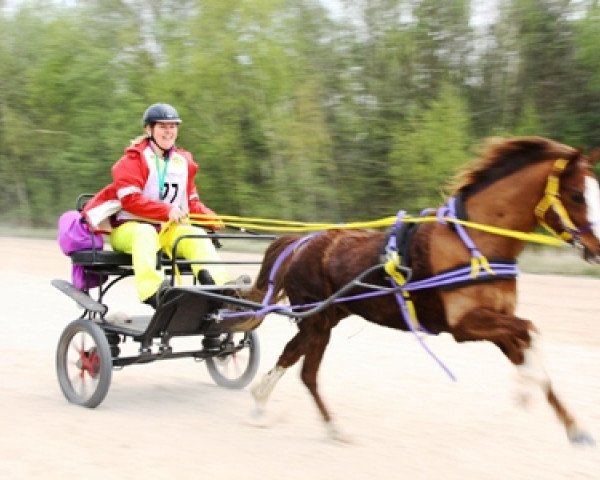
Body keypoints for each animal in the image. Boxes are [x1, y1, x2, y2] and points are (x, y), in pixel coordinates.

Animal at [245, 137, 600, 444]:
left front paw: (574, 427)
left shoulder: (497, 321)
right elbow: (530, 332)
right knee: (305, 370)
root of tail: (300, 242)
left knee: (295, 360)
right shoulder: (465, 325)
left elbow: (526, 346)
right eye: (576, 194)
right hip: (316, 320)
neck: (475, 245)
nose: (598, 249)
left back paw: (274, 408)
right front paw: (525, 389)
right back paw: (319, 423)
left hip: (327, 317)